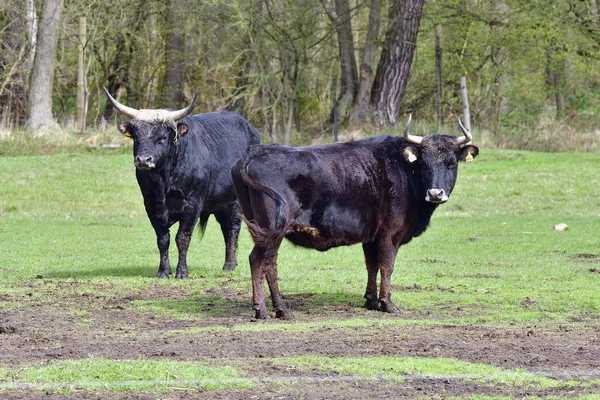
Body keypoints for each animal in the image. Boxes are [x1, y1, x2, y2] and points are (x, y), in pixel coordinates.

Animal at [105, 88, 260, 278]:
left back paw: (229, 264)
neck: (164, 181)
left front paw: (182, 272)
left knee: (232, 229)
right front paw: (163, 271)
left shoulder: (192, 204)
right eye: (136, 136)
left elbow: (182, 238)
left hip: (236, 202)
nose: (143, 160)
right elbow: (163, 239)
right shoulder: (151, 205)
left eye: (163, 137)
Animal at [231, 118, 478, 318]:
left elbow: (372, 264)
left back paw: (281, 309)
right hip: (272, 232)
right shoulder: (390, 233)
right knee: (258, 261)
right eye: (423, 162)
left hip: (269, 232)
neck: (403, 170)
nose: (435, 193)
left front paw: (371, 300)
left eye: (452, 163)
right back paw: (262, 309)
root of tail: (254, 153)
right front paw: (387, 303)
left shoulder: (372, 235)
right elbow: (387, 265)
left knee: (270, 265)